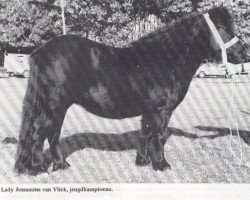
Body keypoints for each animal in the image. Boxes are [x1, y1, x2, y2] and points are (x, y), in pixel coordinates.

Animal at [14, 7, 249, 174]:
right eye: (223, 28)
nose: (245, 53)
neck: (166, 59)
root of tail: (38, 52)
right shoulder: (162, 110)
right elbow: (159, 135)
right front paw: (162, 164)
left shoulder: (149, 110)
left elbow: (145, 133)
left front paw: (143, 161)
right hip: (54, 105)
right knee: (38, 132)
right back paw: (37, 168)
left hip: (58, 107)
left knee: (52, 133)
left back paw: (61, 165)